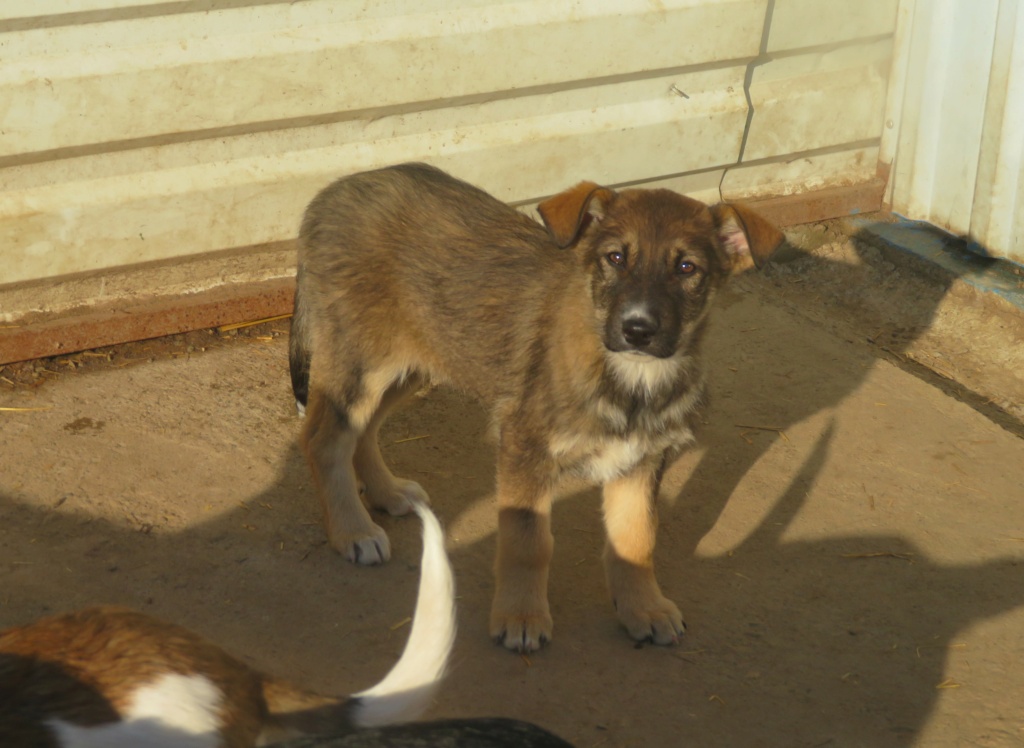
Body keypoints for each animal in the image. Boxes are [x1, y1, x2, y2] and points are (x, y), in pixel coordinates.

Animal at [290, 161, 782, 647]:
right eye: (615, 258)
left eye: (686, 268)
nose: (637, 329)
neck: (630, 380)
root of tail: (332, 194)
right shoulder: (526, 448)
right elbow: (528, 542)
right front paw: (521, 616)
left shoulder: (641, 461)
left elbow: (636, 538)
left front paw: (644, 607)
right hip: (361, 362)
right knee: (323, 439)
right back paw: (352, 530)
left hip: (413, 362)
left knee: (364, 430)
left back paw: (387, 493)